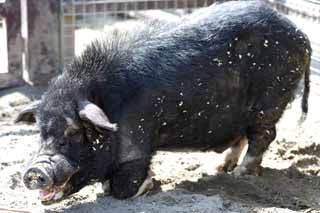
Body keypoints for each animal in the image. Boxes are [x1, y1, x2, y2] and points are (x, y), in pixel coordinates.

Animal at [15, 0, 310, 203]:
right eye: (40, 132)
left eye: (75, 132)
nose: (35, 171)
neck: (107, 100)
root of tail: (302, 35)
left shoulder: (137, 141)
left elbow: (123, 187)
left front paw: (151, 185)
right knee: (242, 136)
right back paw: (219, 168)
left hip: (270, 102)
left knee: (263, 136)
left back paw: (240, 175)